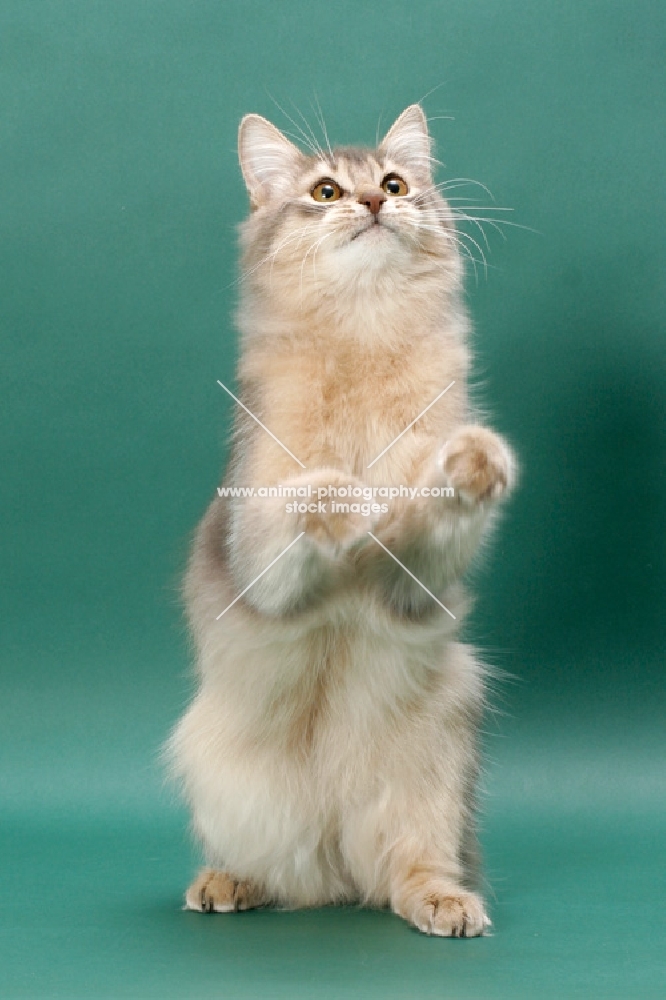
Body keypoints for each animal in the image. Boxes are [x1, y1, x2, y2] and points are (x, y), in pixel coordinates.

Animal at [166, 105, 512, 932]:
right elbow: (298, 514)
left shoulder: (412, 590)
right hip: (219, 770)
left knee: (402, 871)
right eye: (326, 190)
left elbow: (431, 508)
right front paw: (338, 497)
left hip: (439, 753)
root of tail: (336, 864)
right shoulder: (256, 557)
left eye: (396, 182)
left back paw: (443, 901)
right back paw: (228, 882)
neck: (363, 335)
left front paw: (472, 463)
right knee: (280, 873)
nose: (376, 202)